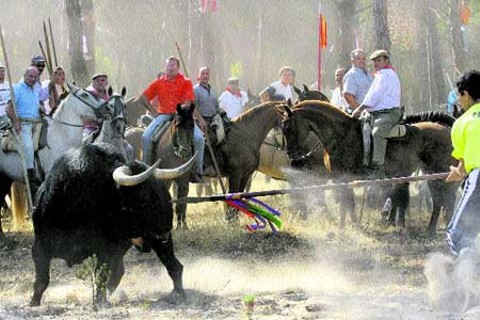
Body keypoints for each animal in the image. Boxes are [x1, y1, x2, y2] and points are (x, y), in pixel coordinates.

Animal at [30, 144, 189, 306]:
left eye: (158, 190)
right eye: (143, 197)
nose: (166, 229)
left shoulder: (106, 248)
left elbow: (101, 275)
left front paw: (99, 302)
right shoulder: (40, 246)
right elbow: (42, 280)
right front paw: (33, 302)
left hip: (156, 243)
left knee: (174, 266)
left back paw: (178, 294)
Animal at [284, 100, 460, 235]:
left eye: (287, 126)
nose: (291, 154)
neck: (341, 134)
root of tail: (448, 131)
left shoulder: (344, 177)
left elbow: (348, 204)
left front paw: (353, 227)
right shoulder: (340, 179)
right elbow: (345, 204)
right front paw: (344, 227)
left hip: (439, 173)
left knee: (447, 199)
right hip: (431, 174)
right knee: (439, 200)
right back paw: (431, 230)